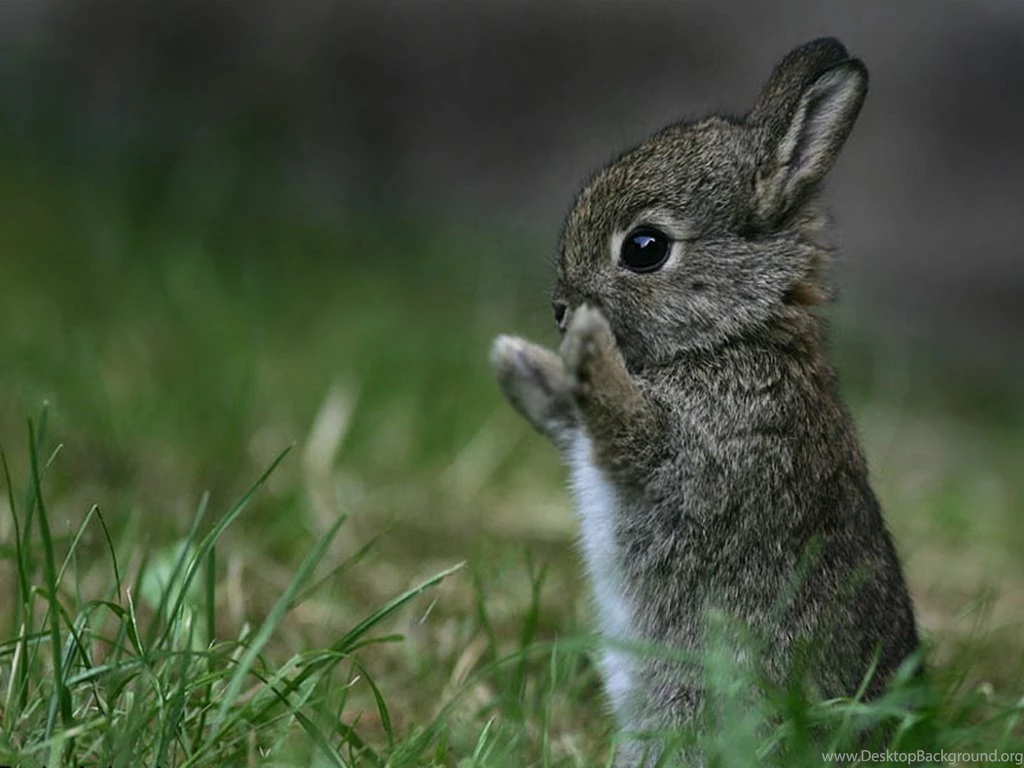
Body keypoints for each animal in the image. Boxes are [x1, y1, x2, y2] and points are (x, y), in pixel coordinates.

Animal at [489, 37, 920, 765]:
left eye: (644, 247)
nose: (560, 310)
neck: (734, 334)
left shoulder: (695, 456)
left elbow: (625, 428)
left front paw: (587, 346)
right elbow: (575, 421)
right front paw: (516, 360)